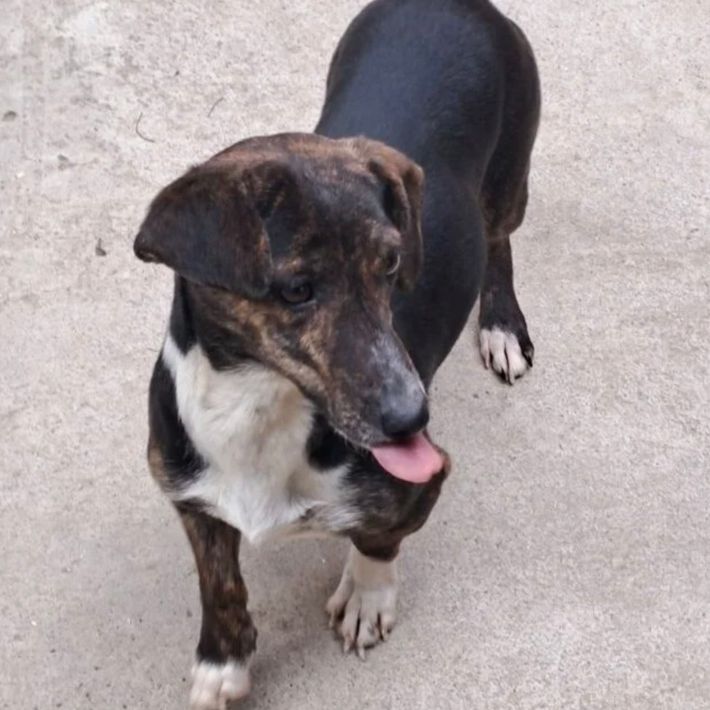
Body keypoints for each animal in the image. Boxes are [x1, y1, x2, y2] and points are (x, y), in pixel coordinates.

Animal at [134, 0, 540, 707]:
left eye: (391, 266)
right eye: (297, 289)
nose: (412, 418)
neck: (258, 409)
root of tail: (455, 4)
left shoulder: (421, 483)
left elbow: (378, 541)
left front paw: (366, 598)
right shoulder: (191, 497)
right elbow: (217, 580)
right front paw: (222, 660)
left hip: (512, 174)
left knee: (499, 238)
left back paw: (500, 325)